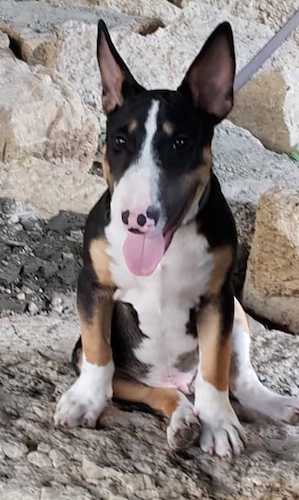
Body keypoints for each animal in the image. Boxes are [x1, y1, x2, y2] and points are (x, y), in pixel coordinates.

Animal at [54, 19, 299, 458]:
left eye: (181, 142)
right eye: (119, 141)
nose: (135, 219)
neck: (164, 252)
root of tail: (176, 380)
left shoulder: (218, 299)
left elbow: (215, 370)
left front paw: (219, 424)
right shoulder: (93, 286)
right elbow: (100, 354)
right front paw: (84, 401)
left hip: (238, 315)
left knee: (235, 380)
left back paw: (274, 405)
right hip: (106, 362)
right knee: (154, 391)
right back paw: (183, 420)